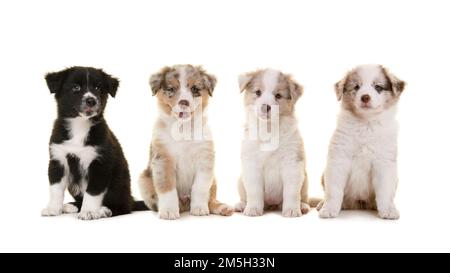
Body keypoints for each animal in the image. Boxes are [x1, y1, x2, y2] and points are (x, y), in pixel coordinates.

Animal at [42, 67, 146, 220]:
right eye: (76, 87)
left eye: (97, 87)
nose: (91, 100)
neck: (79, 126)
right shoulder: (58, 159)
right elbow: (55, 188)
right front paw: (53, 208)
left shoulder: (100, 164)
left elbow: (92, 191)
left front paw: (89, 211)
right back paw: (72, 206)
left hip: (119, 187)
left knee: (124, 207)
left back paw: (104, 210)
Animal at [139, 63, 234, 219]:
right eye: (171, 89)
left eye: (194, 89)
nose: (184, 102)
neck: (183, 130)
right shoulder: (163, 160)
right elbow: (167, 188)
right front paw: (169, 211)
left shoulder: (205, 159)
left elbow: (200, 187)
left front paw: (199, 208)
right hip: (143, 179)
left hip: (214, 179)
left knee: (211, 199)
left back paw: (222, 208)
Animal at [236, 68, 310, 217]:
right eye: (258, 92)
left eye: (278, 95)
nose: (265, 107)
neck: (268, 129)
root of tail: (272, 205)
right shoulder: (251, 164)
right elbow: (254, 191)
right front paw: (253, 209)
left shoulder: (292, 163)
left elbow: (291, 192)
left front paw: (292, 210)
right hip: (240, 180)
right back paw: (241, 205)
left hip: (305, 180)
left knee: (303, 197)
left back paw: (303, 206)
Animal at [318, 64, 406, 219]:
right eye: (356, 87)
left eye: (378, 87)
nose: (365, 97)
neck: (366, 124)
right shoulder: (338, 160)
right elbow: (333, 190)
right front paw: (328, 209)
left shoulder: (384, 163)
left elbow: (385, 191)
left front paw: (388, 210)